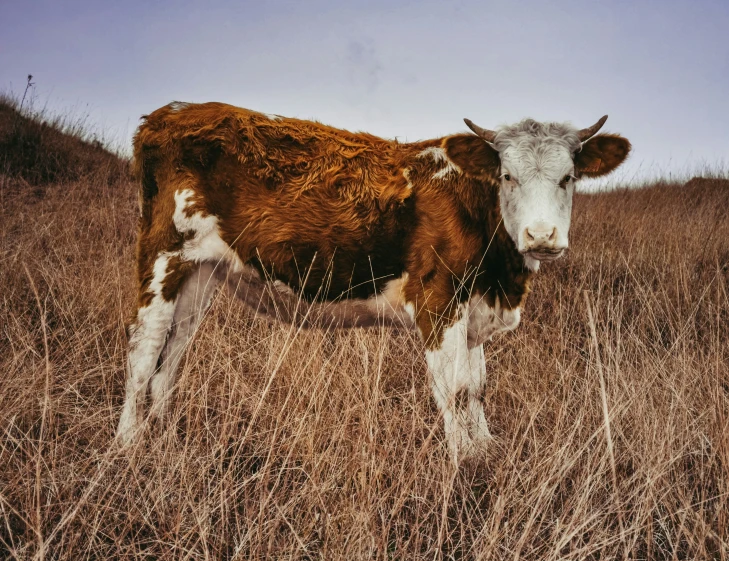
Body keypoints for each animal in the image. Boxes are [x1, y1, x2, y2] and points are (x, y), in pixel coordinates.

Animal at [116, 101, 628, 464]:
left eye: (568, 177)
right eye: (507, 175)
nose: (541, 236)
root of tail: (170, 114)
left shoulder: (475, 310)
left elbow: (478, 387)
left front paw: (486, 451)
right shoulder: (438, 300)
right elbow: (455, 389)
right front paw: (464, 465)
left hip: (199, 275)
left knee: (170, 359)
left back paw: (166, 440)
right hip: (162, 256)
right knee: (143, 352)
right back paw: (127, 445)